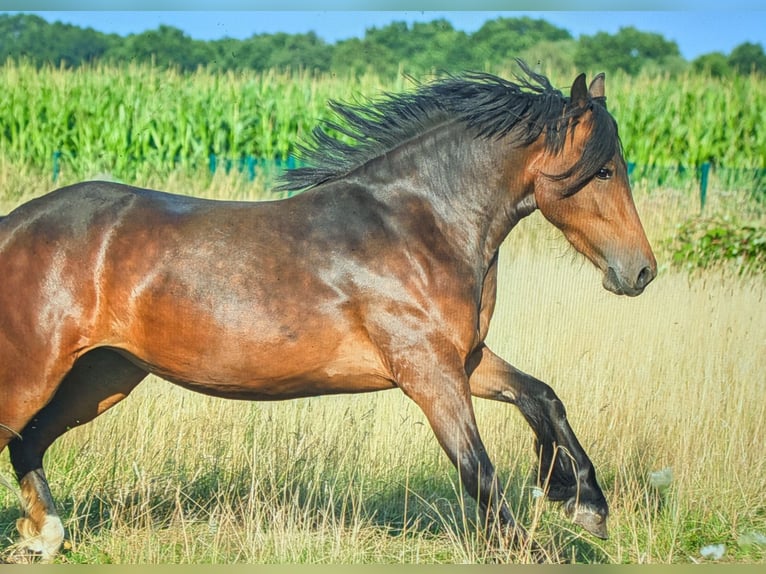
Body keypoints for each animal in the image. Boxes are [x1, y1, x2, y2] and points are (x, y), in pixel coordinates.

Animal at [0, 62, 656, 561]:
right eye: (603, 169)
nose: (641, 272)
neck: (420, 225)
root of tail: (13, 226)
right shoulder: (428, 372)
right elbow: (479, 469)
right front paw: (539, 541)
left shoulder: (462, 360)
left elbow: (542, 396)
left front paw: (585, 502)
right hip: (34, 372)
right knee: (18, 437)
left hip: (103, 374)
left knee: (28, 444)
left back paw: (45, 537)